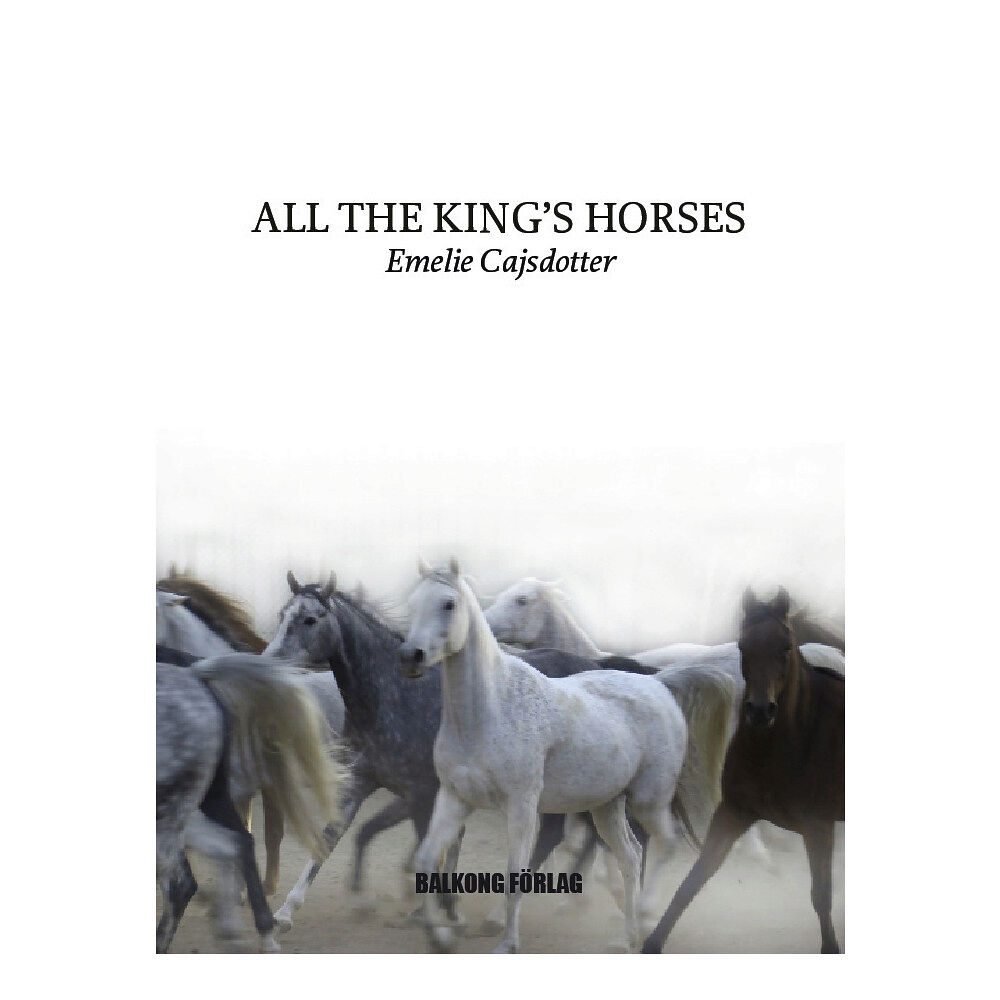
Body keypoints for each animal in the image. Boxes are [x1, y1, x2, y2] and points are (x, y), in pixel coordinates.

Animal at [399, 558, 736, 954]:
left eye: (448, 604)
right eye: (413, 603)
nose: (410, 656)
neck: (489, 710)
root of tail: (658, 684)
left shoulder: (521, 806)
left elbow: (515, 874)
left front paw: (507, 943)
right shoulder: (455, 798)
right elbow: (425, 860)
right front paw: (440, 936)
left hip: (648, 800)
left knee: (665, 844)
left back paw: (644, 917)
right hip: (606, 807)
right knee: (630, 855)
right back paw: (626, 937)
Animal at [641, 587, 845, 953]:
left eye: (785, 646)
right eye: (743, 645)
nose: (760, 711)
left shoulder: (819, 825)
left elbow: (821, 897)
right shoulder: (734, 811)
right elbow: (693, 881)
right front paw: (652, 942)